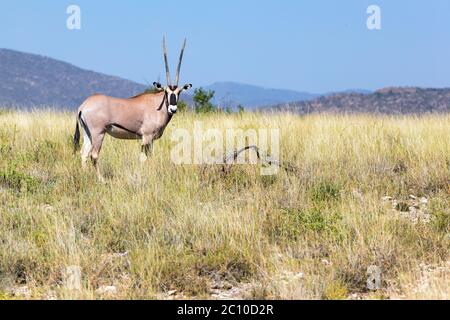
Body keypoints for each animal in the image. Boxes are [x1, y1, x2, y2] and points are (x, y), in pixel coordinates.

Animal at [72, 37, 192, 180]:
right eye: (166, 91)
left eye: (179, 92)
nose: (173, 109)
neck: (158, 105)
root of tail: (83, 106)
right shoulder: (146, 137)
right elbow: (143, 158)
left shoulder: (151, 139)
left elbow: (150, 157)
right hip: (98, 133)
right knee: (94, 155)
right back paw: (101, 179)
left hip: (87, 133)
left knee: (84, 153)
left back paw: (85, 176)